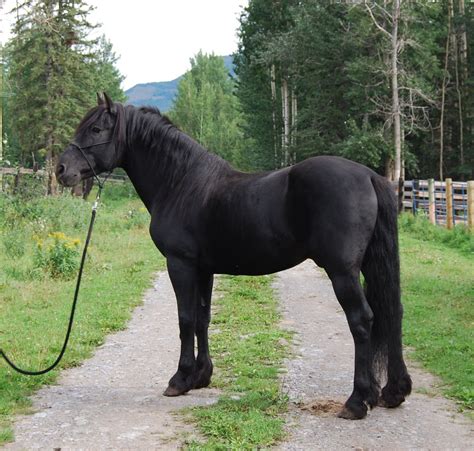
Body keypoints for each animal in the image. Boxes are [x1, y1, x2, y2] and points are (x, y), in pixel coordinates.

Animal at [56, 94, 412, 420]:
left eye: (96, 129)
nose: (61, 170)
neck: (180, 183)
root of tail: (368, 175)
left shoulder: (180, 264)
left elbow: (185, 319)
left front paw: (179, 379)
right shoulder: (204, 270)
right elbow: (202, 318)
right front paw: (201, 376)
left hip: (342, 271)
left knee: (362, 321)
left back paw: (358, 401)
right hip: (367, 266)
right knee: (392, 312)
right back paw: (393, 392)